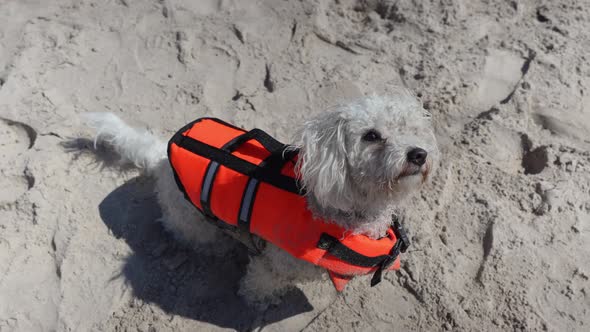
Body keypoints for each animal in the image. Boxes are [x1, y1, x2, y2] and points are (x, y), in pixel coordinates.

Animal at [86, 91, 440, 308]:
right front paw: (259, 302)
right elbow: (261, 283)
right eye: (371, 136)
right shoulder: (272, 265)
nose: (419, 154)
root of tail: (160, 158)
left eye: (412, 129)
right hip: (193, 221)